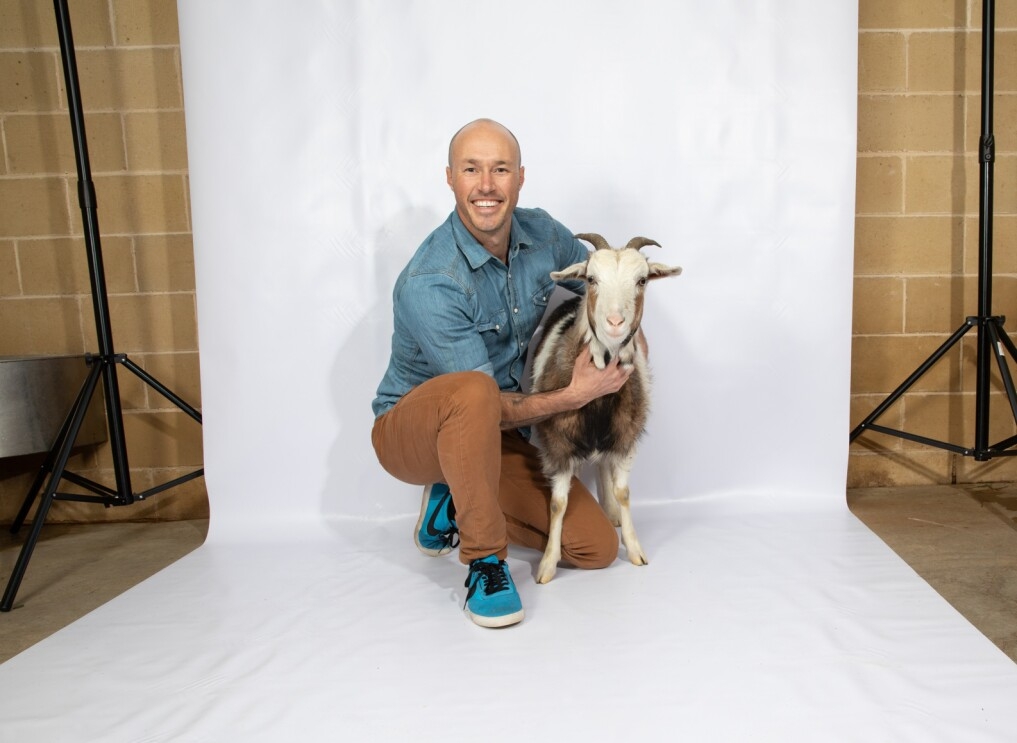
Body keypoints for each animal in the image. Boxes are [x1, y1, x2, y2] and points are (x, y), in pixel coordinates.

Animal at [528, 235, 679, 585]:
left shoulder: (626, 438)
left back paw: (611, 513)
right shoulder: (556, 445)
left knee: (602, 466)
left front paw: (635, 549)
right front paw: (547, 565)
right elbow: (558, 503)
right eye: (591, 278)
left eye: (642, 280)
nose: (614, 323)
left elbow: (623, 491)